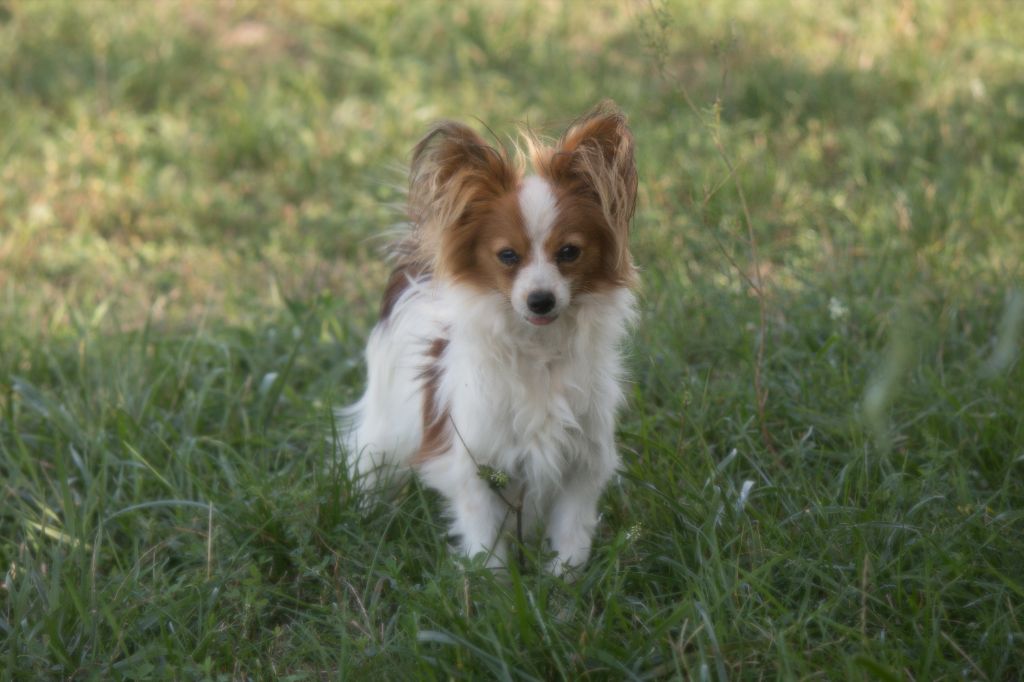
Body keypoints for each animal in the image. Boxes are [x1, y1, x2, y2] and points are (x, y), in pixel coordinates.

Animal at [339, 100, 634, 569]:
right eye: (508, 256)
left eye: (569, 252)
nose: (540, 300)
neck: (538, 350)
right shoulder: (471, 466)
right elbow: (485, 542)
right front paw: (489, 583)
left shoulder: (582, 465)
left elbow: (571, 536)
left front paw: (565, 582)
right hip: (386, 427)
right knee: (368, 462)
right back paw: (364, 513)